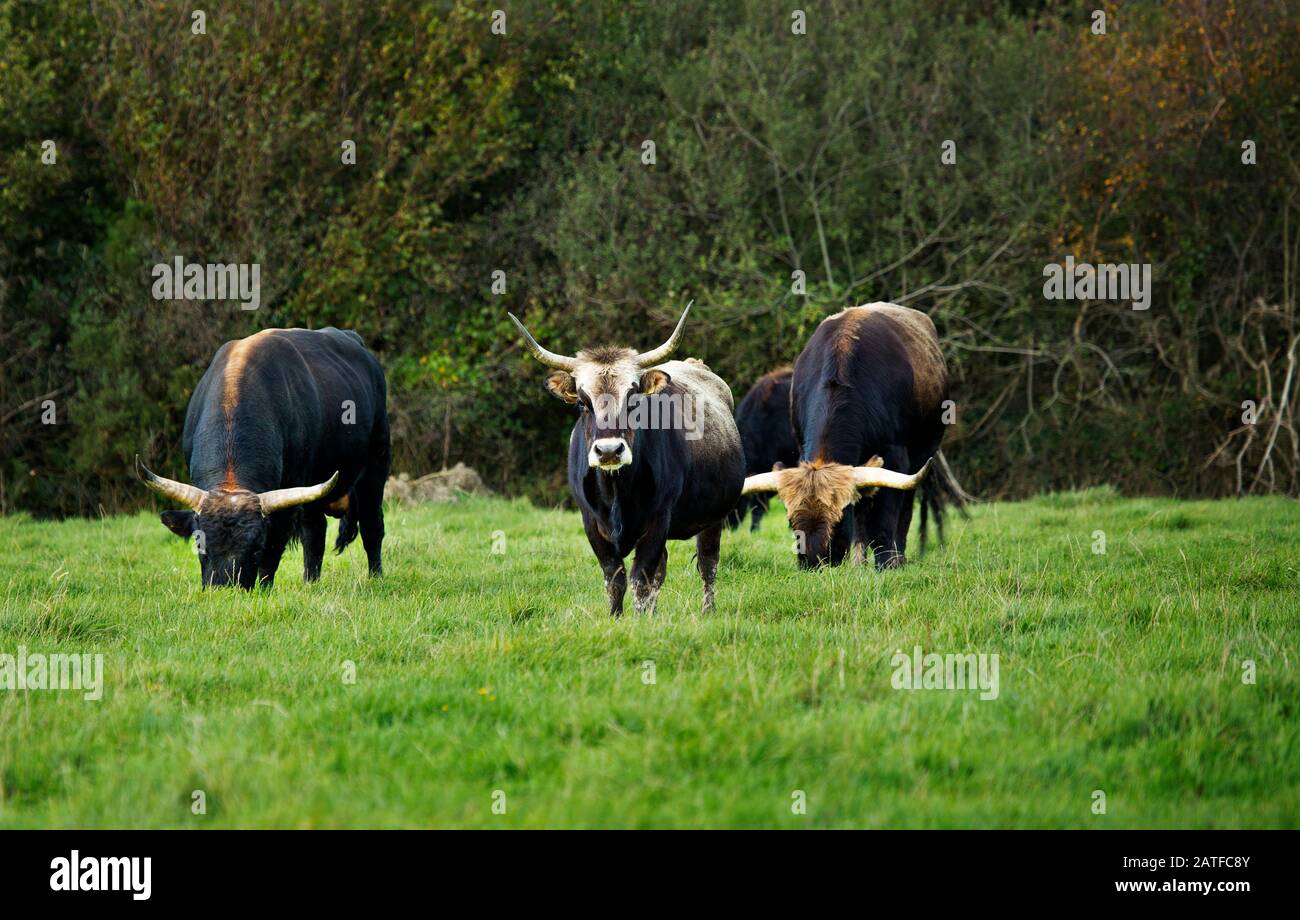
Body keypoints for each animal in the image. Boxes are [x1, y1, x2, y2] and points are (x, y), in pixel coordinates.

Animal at [139, 327, 390, 589]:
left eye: (256, 547)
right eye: (200, 545)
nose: (224, 589)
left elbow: (272, 555)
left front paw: (264, 589)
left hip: (376, 464)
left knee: (372, 525)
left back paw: (376, 577)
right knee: (316, 531)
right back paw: (310, 582)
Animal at [512, 305, 748, 613]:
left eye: (634, 400)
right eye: (582, 403)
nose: (609, 451)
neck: (616, 492)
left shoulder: (658, 521)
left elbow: (640, 580)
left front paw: (638, 619)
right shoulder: (591, 524)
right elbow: (615, 579)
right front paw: (619, 617)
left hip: (713, 518)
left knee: (708, 563)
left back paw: (707, 610)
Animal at [738, 304, 951, 566]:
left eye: (839, 518)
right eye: (791, 521)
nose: (813, 562)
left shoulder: (896, 457)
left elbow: (884, 520)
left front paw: (887, 564)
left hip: (923, 453)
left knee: (905, 509)